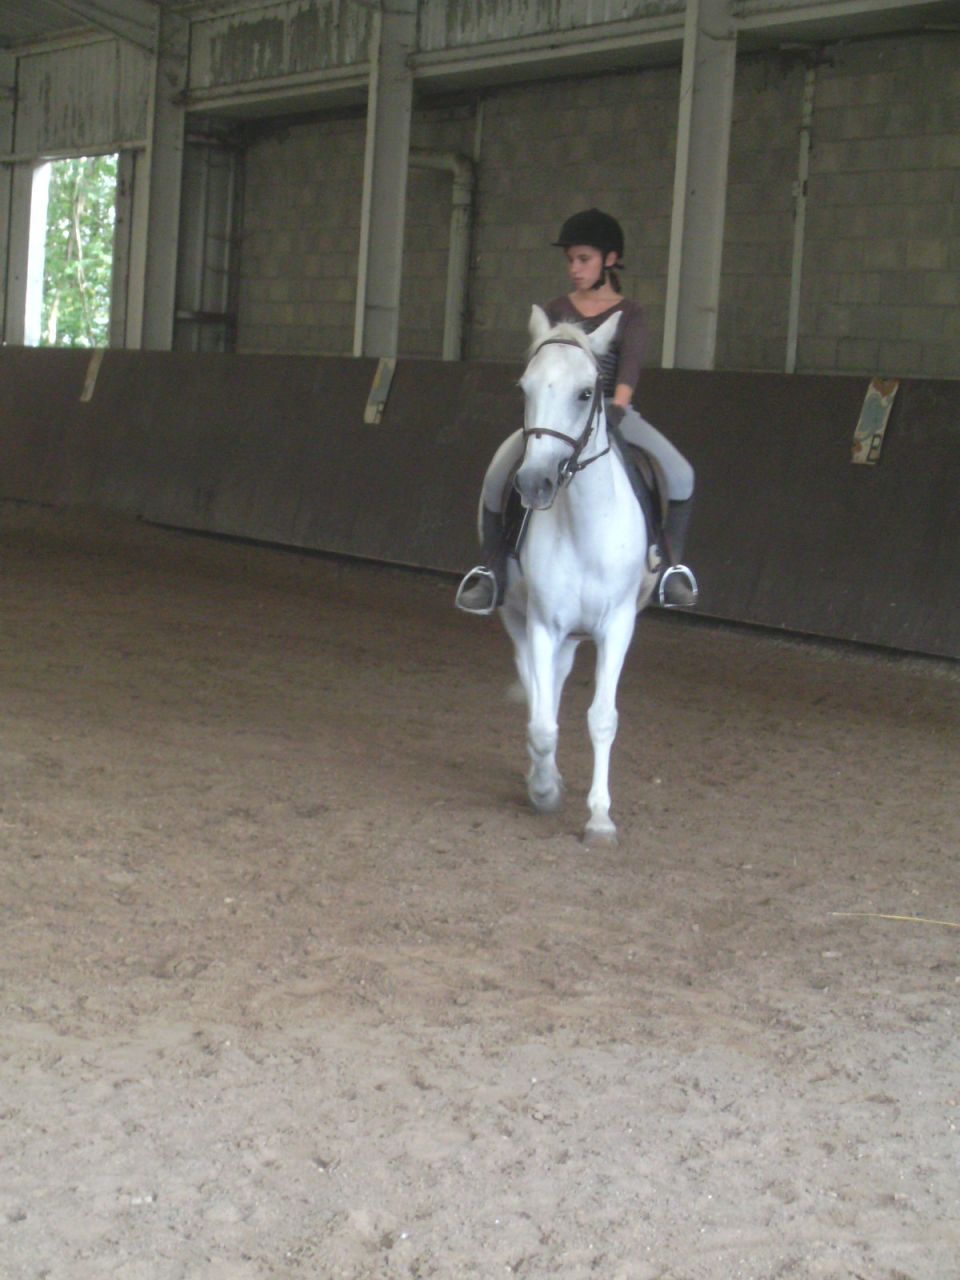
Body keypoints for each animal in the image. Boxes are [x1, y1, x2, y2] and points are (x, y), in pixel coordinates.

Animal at [496, 304, 660, 847]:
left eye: (587, 392)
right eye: (525, 388)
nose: (534, 483)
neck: (586, 525)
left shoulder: (617, 626)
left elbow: (602, 718)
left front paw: (600, 818)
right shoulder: (543, 623)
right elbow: (543, 722)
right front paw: (545, 791)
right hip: (520, 617)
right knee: (537, 689)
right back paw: (540, 774)